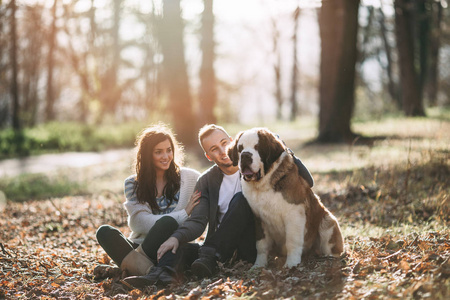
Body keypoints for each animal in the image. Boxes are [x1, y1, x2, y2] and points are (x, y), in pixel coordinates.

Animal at [229, 127, 344, 268]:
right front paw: (259, 265)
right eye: (240, 148)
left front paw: (291, 264)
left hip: (328, 221)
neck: (263, 186)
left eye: (258, 147)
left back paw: (329, 258)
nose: (245, 155)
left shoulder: (294, 214)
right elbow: (261, 244)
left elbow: (292, 241)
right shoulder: (258, 218)